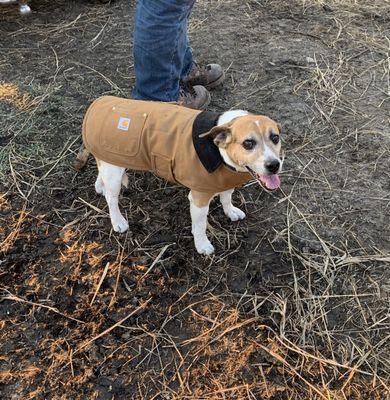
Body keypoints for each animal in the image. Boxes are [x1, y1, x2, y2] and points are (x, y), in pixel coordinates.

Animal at [76, 96, 282, 256]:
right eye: (248, 143)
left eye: (275, 138)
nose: (274, 165)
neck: (219, 150)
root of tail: (97, 103)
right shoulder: (199, 199)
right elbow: (199, 226)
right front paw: (202, 245)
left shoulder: (226, 180)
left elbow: (226, 197)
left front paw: (230, 211)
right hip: (114, 173)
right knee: (112, 199)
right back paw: (118, 221)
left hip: (110, 163)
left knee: (101, 175)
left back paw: (100, 186)